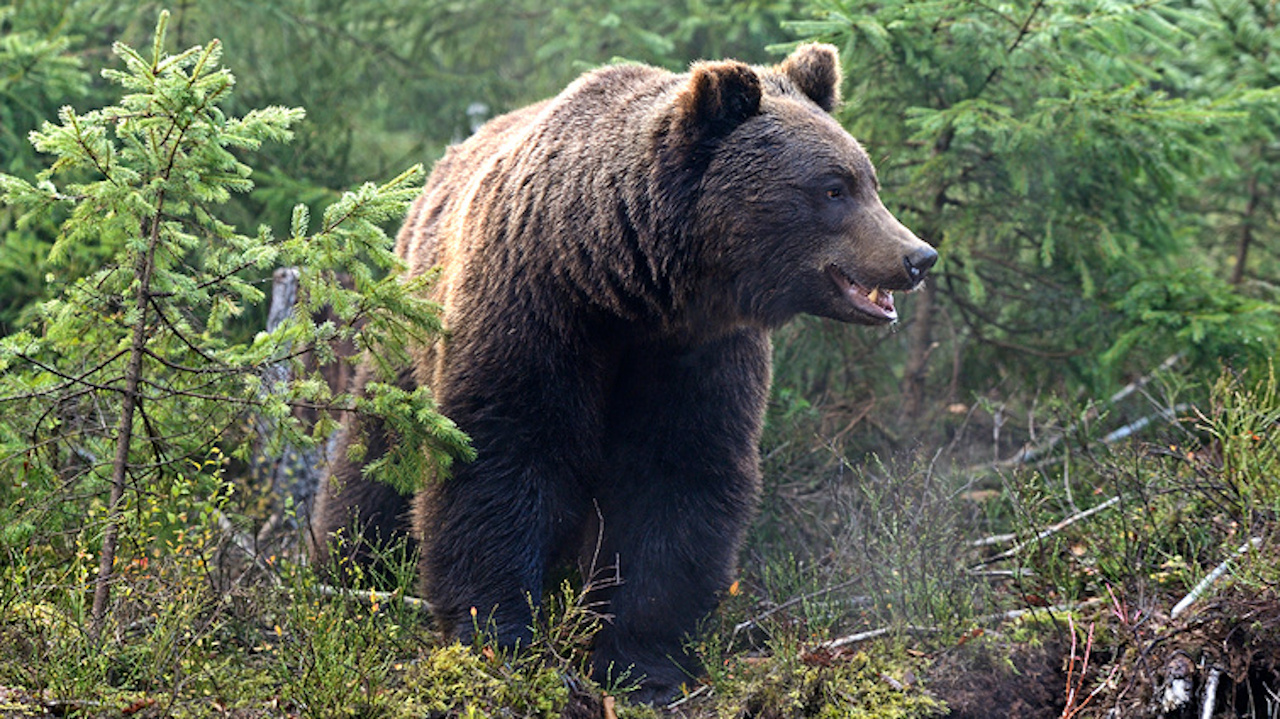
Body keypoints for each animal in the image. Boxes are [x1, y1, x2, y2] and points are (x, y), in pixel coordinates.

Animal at [314, 43, 936, 701]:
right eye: (833, 188)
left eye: (869, 180)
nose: (917, 256)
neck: (621, 282)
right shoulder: (533, 308)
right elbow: (499, 453)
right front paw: (498, 636)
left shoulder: (696, 351)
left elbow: (676, 477)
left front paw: (643, 664)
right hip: (408, 331)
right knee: (375, 454)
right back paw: (349, 566)